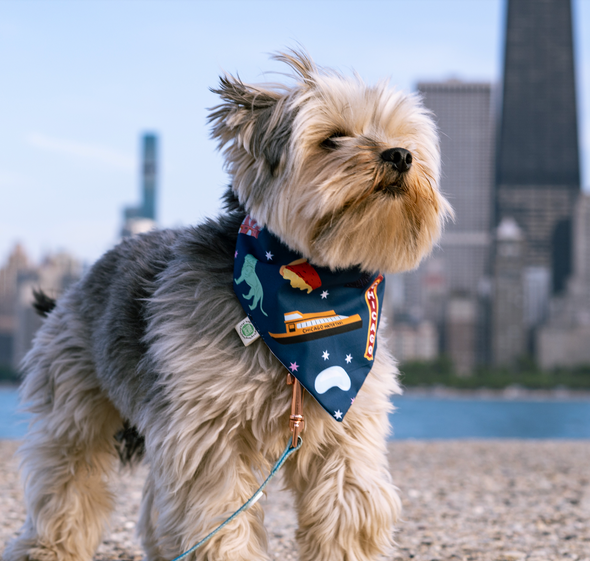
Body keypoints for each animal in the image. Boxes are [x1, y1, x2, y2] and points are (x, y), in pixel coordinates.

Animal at [3, 49, 454, 560]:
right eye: (333, 138)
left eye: (405, 141)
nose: (400, 155)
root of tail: (81, 277)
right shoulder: (209, 435)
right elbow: (217, 517)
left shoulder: (346, 431)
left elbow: (348, 510)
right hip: (76, 400)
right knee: (68, 477)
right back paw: (47, 545)